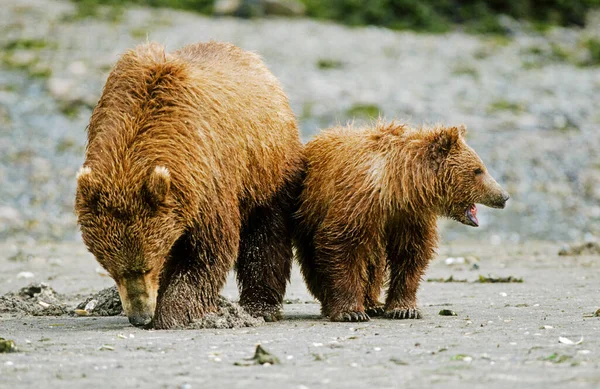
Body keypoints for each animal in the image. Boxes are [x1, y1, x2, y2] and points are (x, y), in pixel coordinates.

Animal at [77, 41, 304, 328]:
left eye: (148, 265)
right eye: (111, 268)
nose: (140, 316)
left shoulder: (205, 175)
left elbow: (205, 251)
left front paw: (171, 312)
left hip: (265, 165)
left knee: (265, 235)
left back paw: (260, 306)